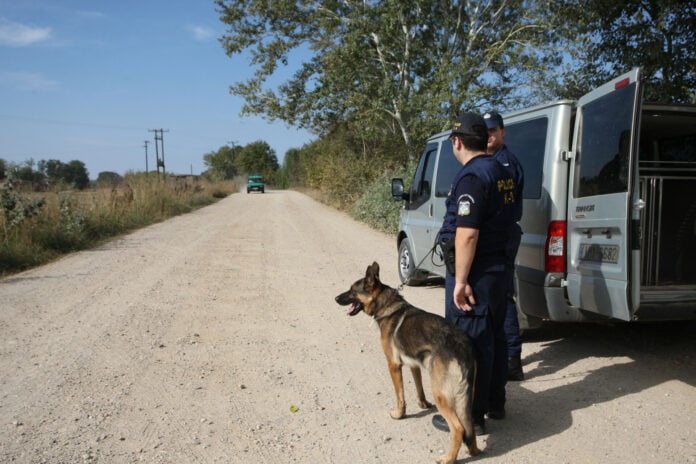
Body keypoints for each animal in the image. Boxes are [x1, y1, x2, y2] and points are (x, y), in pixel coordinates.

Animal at [336, 262, 478, 462]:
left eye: (352, 291)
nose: (335, 298)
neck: (387, 305)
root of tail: (462, 345)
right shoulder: (413, 365)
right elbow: (419, 388)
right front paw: (423, 404)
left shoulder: (393, 365)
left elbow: (400, 395)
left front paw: (399, 414)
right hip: (464, 396)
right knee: (469, 424)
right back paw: (473, 450)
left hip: (441, 394)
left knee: (458, 428)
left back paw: (449, 458)